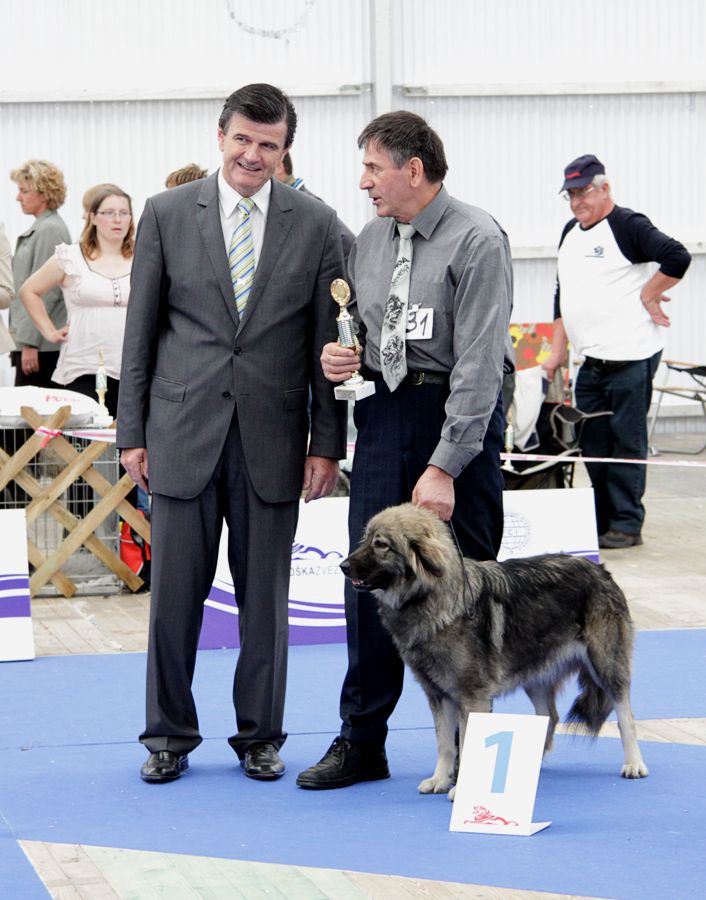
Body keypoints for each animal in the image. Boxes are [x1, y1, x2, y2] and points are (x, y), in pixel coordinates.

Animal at [338, 502, 648, 800]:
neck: (432, 598)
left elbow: (464, 742)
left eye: (381, 545)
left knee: (626, 716)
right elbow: (444, 743)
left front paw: (460, 788)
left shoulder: (472, 697)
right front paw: (440, 779)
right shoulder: (439, 695)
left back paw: (633, 763)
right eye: (365, 539)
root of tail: (599, 569)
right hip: (535, 676)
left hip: (606, 666)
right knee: (549, 716)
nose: (343, 566)